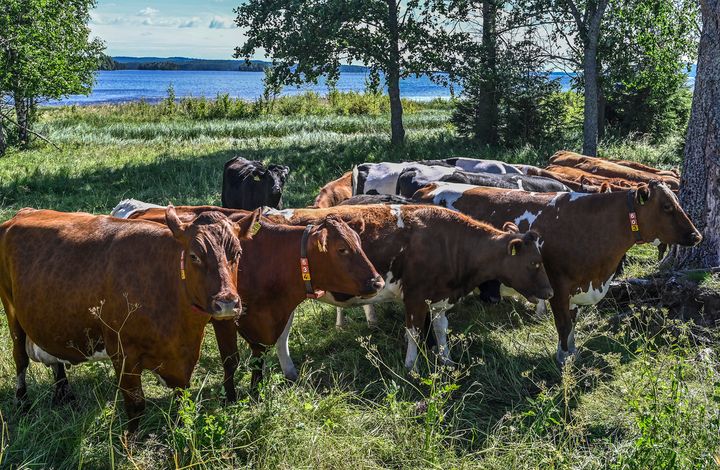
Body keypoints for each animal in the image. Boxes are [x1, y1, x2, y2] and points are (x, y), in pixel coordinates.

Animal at [0, 207, 258, 432]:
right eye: (194, 256)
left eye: (237, 253)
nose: (227, 302)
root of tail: (23, 213)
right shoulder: (123, 353)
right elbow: (135, 405)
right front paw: (131, 444)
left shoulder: (184, 357)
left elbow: (182, 399)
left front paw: (180, 430)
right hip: (11, 311)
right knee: (20, 359)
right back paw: (22, 403)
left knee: (55, 359)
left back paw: (64, 394)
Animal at [414, 182, 700, 366]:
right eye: (667, 206)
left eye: (676, 202)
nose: (697, 235)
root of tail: (428, 187)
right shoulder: (558, 287)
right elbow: (563, 324)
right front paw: (563, 358)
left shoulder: (578, 289)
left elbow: (572, 323)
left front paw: (572, 352)